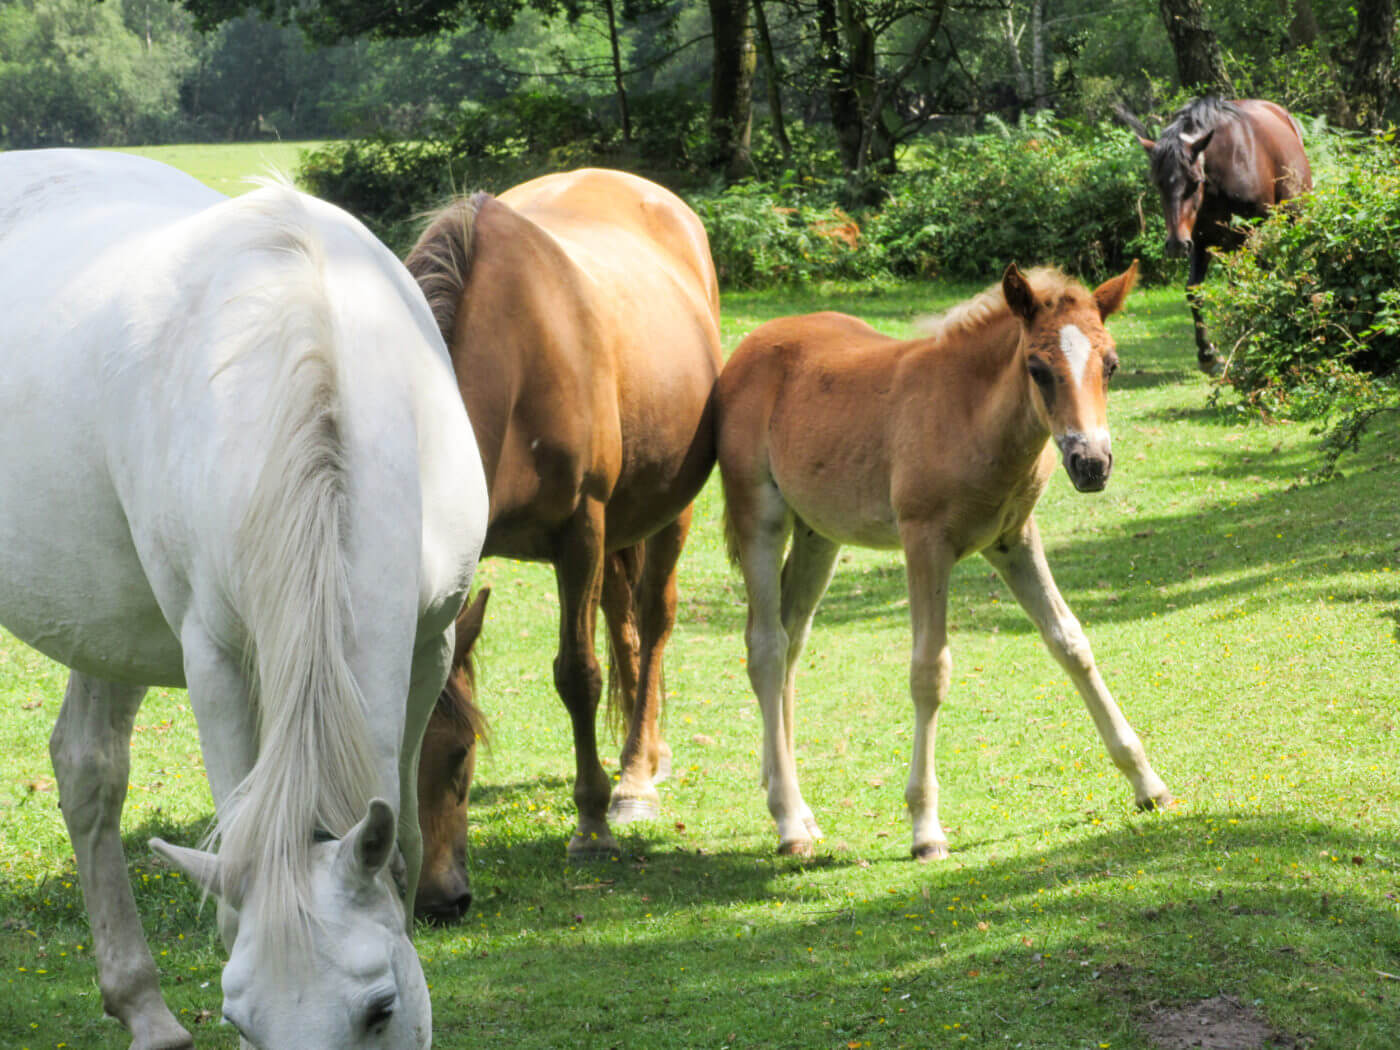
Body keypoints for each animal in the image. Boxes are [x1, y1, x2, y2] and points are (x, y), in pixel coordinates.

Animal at [0, 150, 487, 1049]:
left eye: (380, 1009)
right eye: (241, 1019)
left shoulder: (428, 644)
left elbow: (401, 847)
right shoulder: (216, 657)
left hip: (107, 625)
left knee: (87, 767)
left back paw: (144, 1009)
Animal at [404, 168, 723, 873]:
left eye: (459, 753)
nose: (431, 886)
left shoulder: (581, 531)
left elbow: (578, 674)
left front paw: (593, 820)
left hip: (667, 514)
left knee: (652, 624)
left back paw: (635, 779)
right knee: (624, 623)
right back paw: (643, 757)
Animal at [716, 261, 1172, 859]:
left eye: (1111, 365)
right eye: (1037, 368)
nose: (1091, 463)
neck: (971, 414)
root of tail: (747, 349)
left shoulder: (1014, 539)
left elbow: (1071, 642)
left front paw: (1147, 783)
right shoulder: (925, 543)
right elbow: (929, 671)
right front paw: (925, 827)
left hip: (819, 535)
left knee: (791, 640)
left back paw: (795, 803)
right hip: (760, 518)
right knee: (766, 647)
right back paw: (790, 823)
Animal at [1128, 97, 1312, 371]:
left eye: (1194, 182)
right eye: (1158, 184)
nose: (1175, 245)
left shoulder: (1247, 235)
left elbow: (1245, 287)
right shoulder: (1200, 240)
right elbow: (1194, 291)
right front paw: (1208, 354)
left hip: (1289, 219)